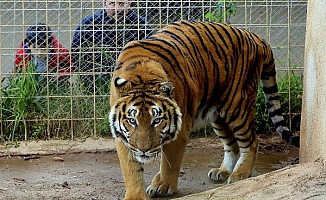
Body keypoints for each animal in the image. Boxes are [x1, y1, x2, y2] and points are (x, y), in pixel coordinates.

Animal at [108, 19, 300, 199]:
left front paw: (163, 185)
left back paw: (240, 174)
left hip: (237, 106)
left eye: (157, 120)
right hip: (218, 116)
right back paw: (222, 171)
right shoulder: (122, 135)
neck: (141, 74)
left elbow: (170, 162)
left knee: (252, 141)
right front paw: (136, 195)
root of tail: (256, 37)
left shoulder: (181, 128)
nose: (143, 150)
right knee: (231, 145)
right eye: (132, 121)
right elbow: (130, 169)